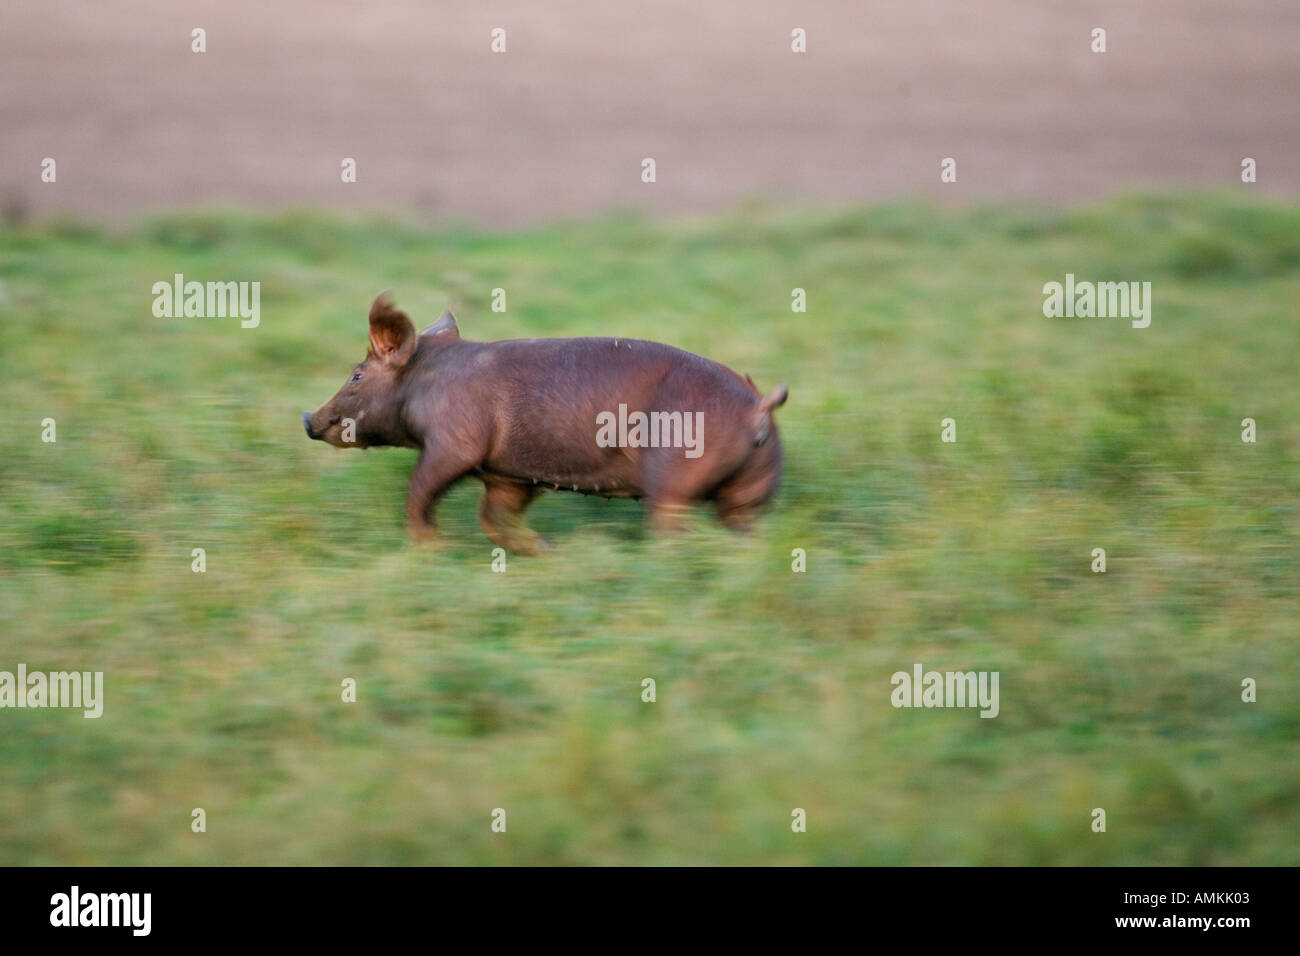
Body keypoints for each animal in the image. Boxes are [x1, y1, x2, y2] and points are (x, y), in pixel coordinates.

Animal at [304, 295, 785, 556]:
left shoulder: (455, 442)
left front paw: (433, 549)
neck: (423, 381)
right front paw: (547, 550)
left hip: (674, 474)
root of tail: (758, 408)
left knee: (671, 525)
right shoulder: (509, 474)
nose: (308, 418)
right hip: (753, 485)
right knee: (744, 524)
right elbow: (495, 516)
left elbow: (419, 492)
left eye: (357, 375)